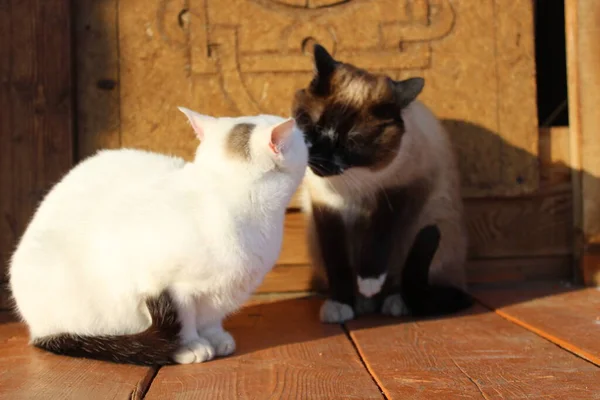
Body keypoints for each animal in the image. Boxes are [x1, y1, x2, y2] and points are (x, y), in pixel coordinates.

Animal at [292, 45, 474, 324]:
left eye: (352, 143)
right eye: (312, 127)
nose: (319, 161)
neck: (350, 183)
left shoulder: (400, 190)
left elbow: (379, 236)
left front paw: (368, 282)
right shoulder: (325, 206)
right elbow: (336, 259)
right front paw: (341, 303)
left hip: (430, 222)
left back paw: (392, 301)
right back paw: (359, 304)